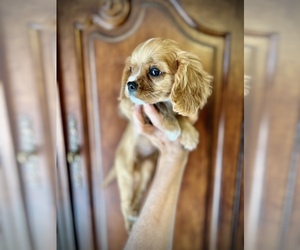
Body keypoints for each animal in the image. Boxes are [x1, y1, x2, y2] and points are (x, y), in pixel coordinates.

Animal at [105, 37, 211, 232]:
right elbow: (157, 105)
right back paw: (129, 219)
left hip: (147, 170)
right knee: (125, 200)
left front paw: (189, 134)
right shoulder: (128, 106)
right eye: (130, 69)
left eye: (154, 72)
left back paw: (135, 213)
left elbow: (179, 114)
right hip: (125, 172)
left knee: (138, 193)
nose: (129, 84)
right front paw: (172, 127)